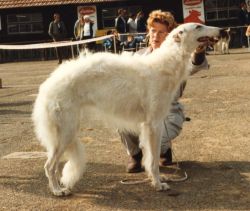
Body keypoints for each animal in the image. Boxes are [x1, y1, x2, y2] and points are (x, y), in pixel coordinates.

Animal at [32, 22, 222, 195]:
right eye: (198, 26)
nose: (223, 30)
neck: (165, 64)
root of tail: (48, 84)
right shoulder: (154, 124)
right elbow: (153, 160)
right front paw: (158, 184)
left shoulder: (149, 126)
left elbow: (150, 158)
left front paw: (156, 179)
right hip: (65, 131)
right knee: (49, 166)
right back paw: (57, 190)